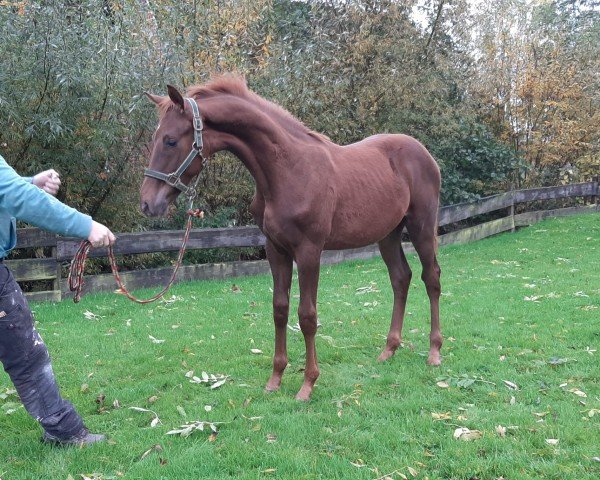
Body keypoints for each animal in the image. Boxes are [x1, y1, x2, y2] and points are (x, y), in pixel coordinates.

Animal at [141, 76, 440, 402]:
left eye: (170, 140)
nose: (147, 204)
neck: (288, 170)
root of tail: (422, 151)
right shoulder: (276, 249)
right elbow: (280, 309)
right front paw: (275, 378)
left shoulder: (309, 251)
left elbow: (307, 315)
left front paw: (308, 384)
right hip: (388, 234)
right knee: (400, 278)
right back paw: (389, 349)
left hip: (423, 226)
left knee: (431, 278)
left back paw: (434, 352)